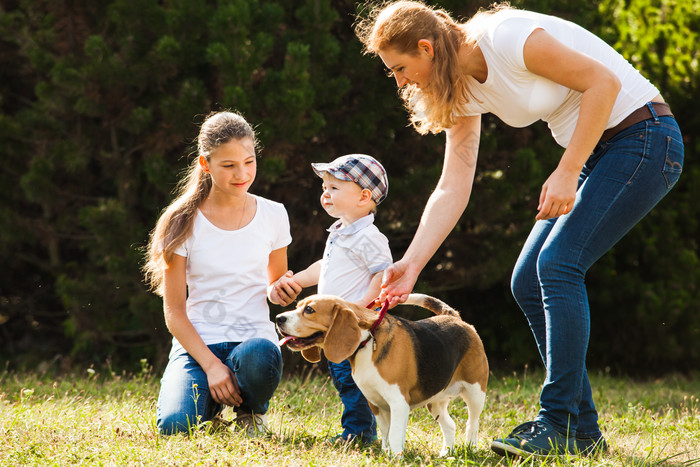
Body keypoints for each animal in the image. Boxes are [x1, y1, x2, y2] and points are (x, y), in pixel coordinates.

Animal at [274, 294, 486, 456]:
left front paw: (395, 457)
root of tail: (455, 318)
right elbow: (386, 431)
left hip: (476, 393)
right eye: (297, 306)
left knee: (472, 422)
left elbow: (395, 433)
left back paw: (471, 448)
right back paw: (446, 453)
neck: (367, 340)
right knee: (450, 425)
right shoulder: (376, 403)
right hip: (435, 401)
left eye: (309, 310)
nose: (278, 318)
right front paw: (386, 453)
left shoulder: (399, 403)